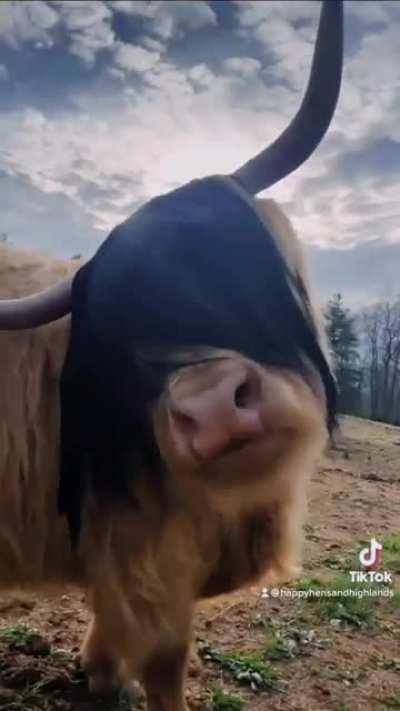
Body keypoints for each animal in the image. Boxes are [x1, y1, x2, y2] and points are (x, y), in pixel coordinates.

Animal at [0, 2, 342, 709]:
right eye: (115, 336)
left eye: (223, 265)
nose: (213, 411)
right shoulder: (142, 554)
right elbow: (166, 658)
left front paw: (101, 673)